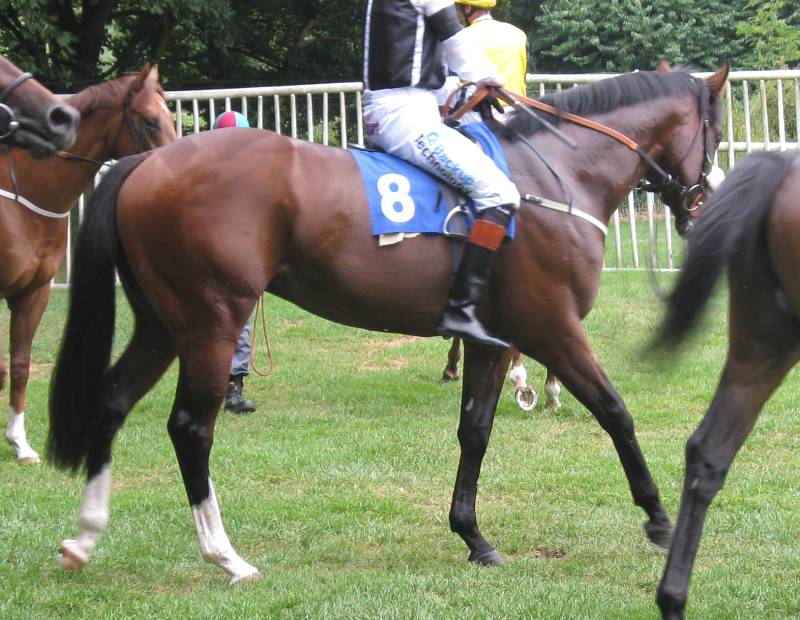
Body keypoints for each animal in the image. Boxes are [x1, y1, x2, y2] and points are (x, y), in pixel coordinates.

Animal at [1, 64, 175, 463]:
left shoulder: (34, 294)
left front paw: (19, 443)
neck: (22, 198)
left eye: (171, 117)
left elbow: (19, 364)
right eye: (149, 121)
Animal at [48, 65, 729, 583]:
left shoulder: (496, 342)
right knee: (191, 429)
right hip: (211, 324)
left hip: (164, 325)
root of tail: (145, 164)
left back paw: (84, 539)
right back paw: (226, 556)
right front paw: (659, 519)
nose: (707, 203)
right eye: (716, 132)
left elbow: (475, 431)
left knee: (113, 400)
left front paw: (473, 536)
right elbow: (616, 412)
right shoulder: (552, 329)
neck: (555, 175)